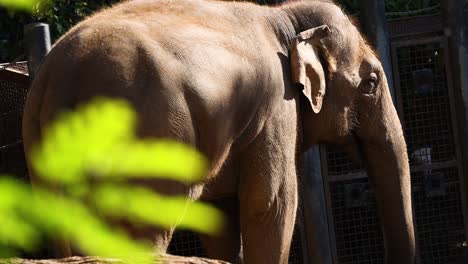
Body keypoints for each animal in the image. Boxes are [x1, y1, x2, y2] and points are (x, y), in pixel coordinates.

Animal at [23, 0, 414, 262]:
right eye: (371, 83)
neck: (284, 17)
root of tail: (59, 76)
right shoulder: (276, 106)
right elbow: (270, 205)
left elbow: (221, 216)